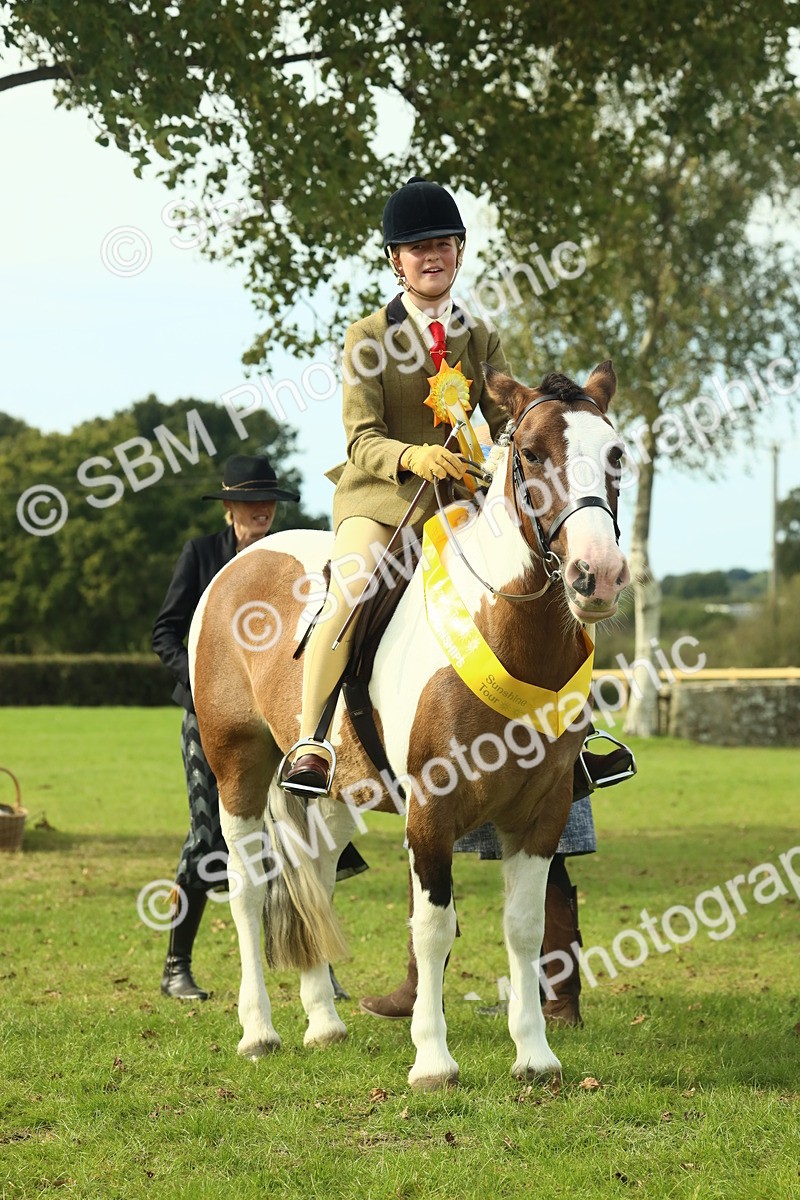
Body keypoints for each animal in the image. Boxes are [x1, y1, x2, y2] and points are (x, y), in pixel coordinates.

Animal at [189, 360, 630, 1091]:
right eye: (532, 453)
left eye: (617, 454)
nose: (599, 575)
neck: (506, 629)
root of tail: (244, 558)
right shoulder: (431, 812)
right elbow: (433, 929)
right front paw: (433, 1060)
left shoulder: (541, 812)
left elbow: (525, 926)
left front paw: (535, 1055)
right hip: (236, 769)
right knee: (249, 889)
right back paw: (259, 1031)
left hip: (333, 795)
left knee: (315, 875)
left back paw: (323, 1021)